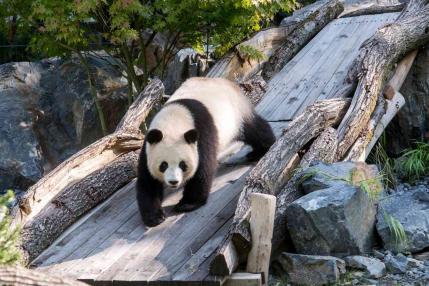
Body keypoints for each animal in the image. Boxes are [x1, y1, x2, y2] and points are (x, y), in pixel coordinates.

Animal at [139, 77, 276, 227]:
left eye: (182, 164)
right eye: (163, 165)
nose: (173, 181)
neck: (172, 121)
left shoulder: (201, 133)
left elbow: (203, 168)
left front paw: (187, 204)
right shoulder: (148, 147)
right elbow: (148, 181)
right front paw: (154, 217)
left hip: (236, 113)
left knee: (254, 129)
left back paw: (262, 149)